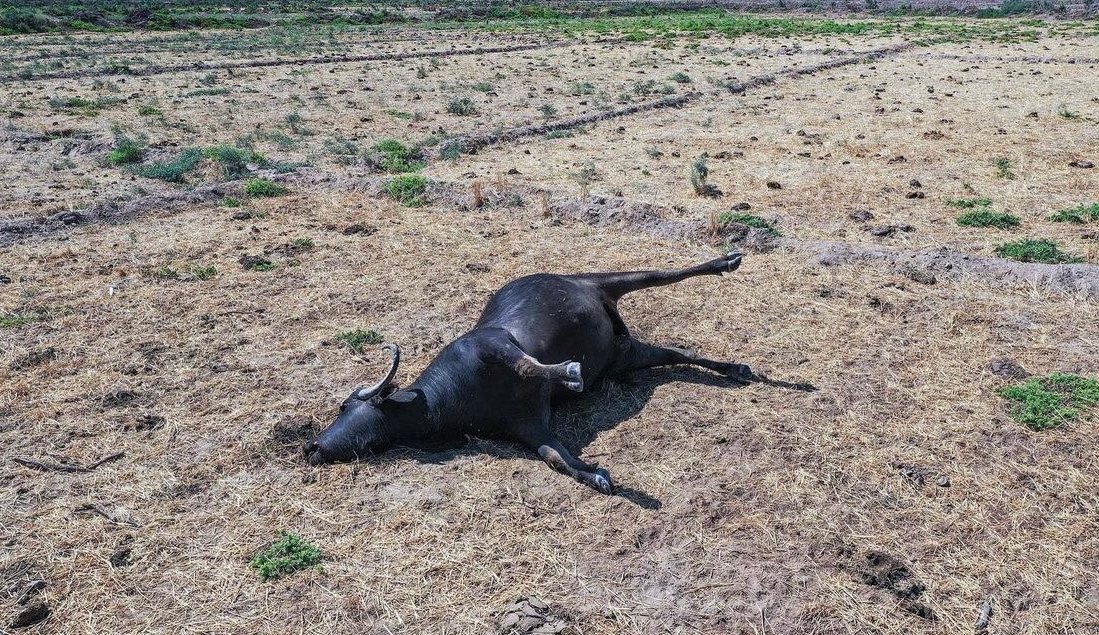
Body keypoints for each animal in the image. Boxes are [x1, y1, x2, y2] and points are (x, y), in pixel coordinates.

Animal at [309, 249, 756, 492]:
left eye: (344, 407)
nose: (311, 446)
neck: (444, 399)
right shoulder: (528, 427)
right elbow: (555, 457)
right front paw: (597, 476)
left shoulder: (492, 344)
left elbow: (527, 364)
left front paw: (571, 371)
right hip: (628, 355)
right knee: (680, 353)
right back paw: (737, 368)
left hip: (605, 281)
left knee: (662, 273)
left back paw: (727, 261)